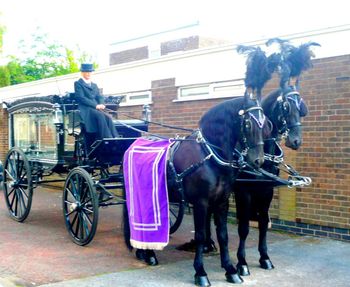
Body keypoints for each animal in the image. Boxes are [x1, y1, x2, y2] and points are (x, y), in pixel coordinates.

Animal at [123, 47, 276, 286]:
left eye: (266, 124)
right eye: (248, 124)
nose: (258, 161)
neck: (210, 157)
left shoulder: (221, 201)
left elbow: (223, 235)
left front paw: (230, 269)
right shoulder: (201, 202)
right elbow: (202, 235)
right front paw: (201, 272)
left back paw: (144, 252)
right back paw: (147, 252)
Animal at [234, 40, 318, 276]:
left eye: (302, 107)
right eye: (287, 106)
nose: (296, 141)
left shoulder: (266, 191)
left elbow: (263, 222)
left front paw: (265, 257)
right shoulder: (243, 191)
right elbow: (244, 226)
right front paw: (242, 263)